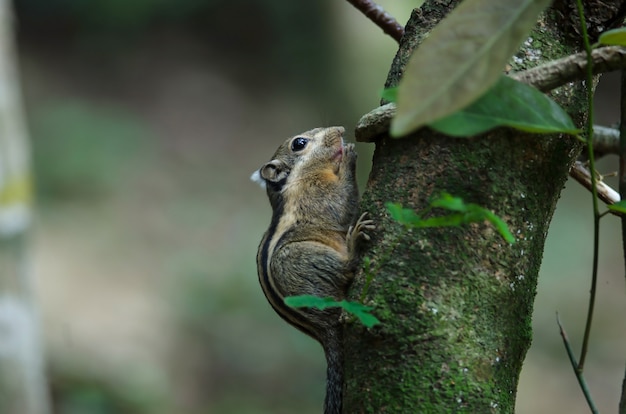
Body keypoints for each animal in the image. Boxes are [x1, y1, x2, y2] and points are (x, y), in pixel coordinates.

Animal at [251, 126, 372, 414]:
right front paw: (349, 157)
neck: (297, 180)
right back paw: (354, 244)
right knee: (346, 269)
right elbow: (344, 202)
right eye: (299, 143)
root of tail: (321, 327)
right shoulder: (321, 196)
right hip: (303, 260)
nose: (340, 130)